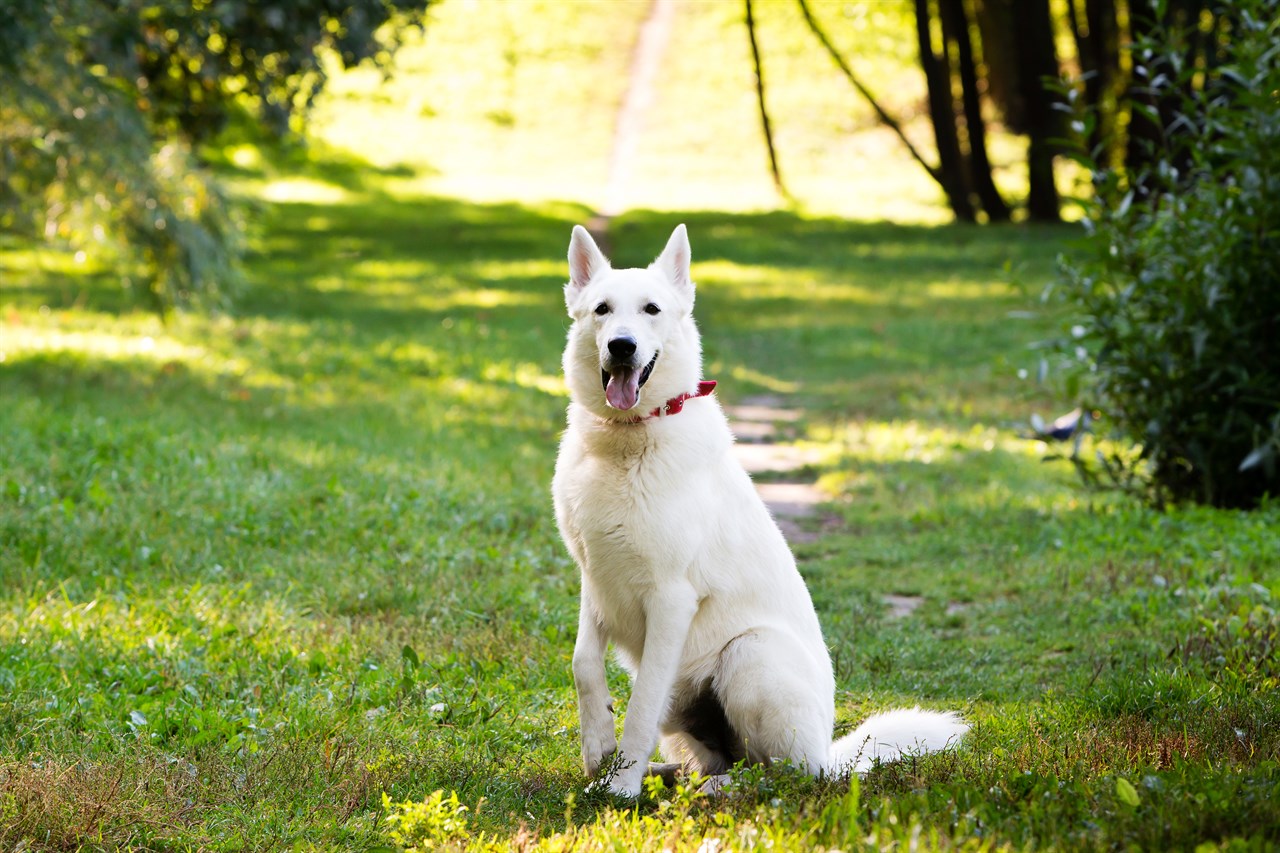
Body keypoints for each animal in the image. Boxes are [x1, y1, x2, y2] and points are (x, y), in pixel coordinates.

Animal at [552, 222, 967, 794]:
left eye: (651, 310)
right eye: (602, 310)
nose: (621, 345)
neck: (627, 442)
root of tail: (832, 755)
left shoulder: (670, 600)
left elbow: (639, 706)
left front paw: (621, 786)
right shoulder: (595, 582)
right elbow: (584, 667)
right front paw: (599, 757)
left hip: (751, 654)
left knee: (782, 774)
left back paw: (714, 788)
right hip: (689, 708)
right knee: (714, 758)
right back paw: (671, 775)